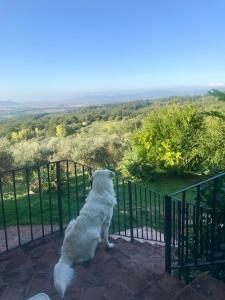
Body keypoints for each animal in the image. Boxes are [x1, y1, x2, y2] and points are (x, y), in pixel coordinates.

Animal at [52, 169, 116, 298]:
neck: (100, 190)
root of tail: (66, 253)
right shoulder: (107, 222)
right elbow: (106, 237)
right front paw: (109, 246)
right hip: (93, 235)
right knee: (83, 259)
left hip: (71, 222)